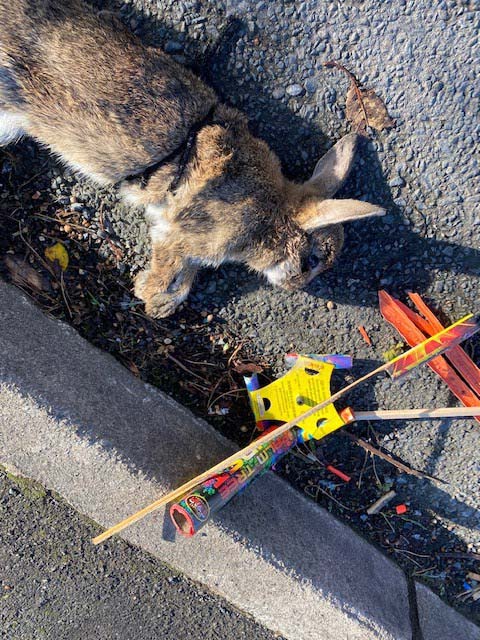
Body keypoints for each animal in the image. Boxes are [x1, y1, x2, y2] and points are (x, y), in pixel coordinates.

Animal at [0, 0, 385, 318]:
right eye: (312, 260)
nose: (297, 287)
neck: (273, 213)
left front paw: (157, 300)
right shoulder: (184, 237)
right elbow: (176, 269)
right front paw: (154, 299)